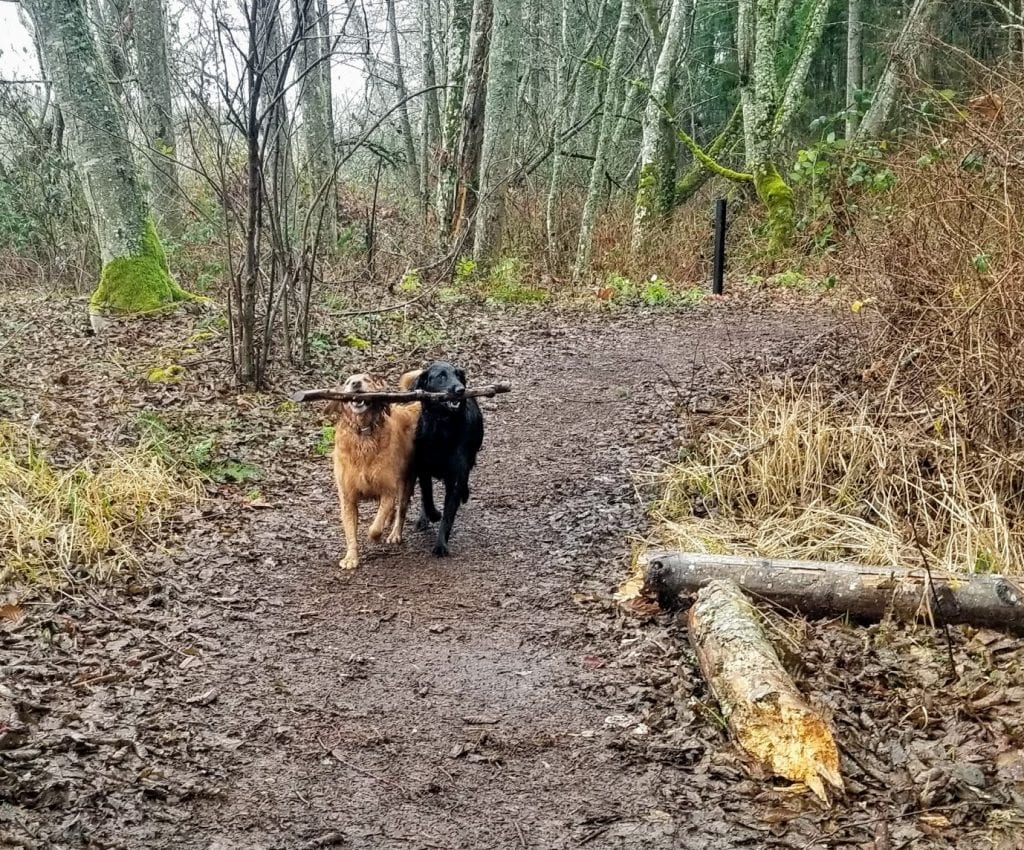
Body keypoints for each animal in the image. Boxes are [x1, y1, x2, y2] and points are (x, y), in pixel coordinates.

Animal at [331, 374, 419, 569]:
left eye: (367, 379)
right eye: (347, 382)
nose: (356, 383)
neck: (363, 435)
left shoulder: (388, 490)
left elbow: (375, 527)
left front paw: (375, 535)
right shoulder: (347, 498)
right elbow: (350, 532)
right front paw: (351, 558)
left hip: (405, 481)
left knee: (401, 509)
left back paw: (395, 533)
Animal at [407, 360, 483, 557]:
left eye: (458, 375)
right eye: (441, 376)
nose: (461, 389)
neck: (441, 427)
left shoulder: (456, 476)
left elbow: (449, 514)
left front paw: (441, 544)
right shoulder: (423, 469)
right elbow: (427, 497)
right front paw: (432, 514)